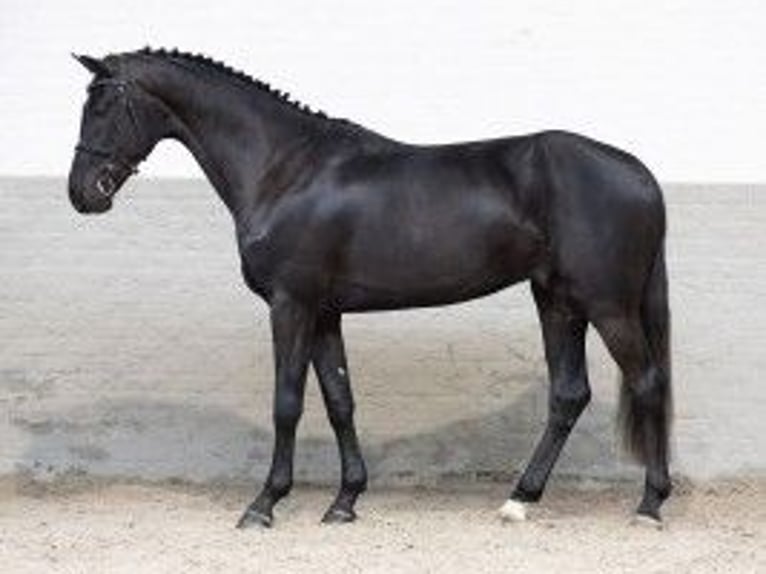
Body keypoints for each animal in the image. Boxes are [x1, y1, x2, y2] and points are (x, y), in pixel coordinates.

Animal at [69, 49, 676, 532]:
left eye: (102, 106)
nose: (83, 194)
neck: (285, 169)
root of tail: (641, 173)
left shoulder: (291, 305)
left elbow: (287, 402)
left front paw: (264, 504)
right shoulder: (323, 313)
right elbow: (340, 401)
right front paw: (344, 501)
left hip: (607, 306)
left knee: (647, 382)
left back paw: (649, 505)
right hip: (557, 301)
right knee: (568, 394)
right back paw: (519, 500)